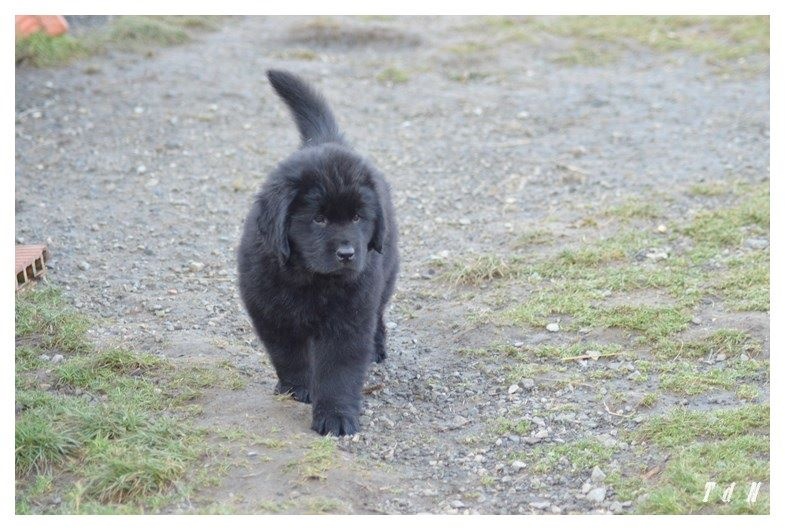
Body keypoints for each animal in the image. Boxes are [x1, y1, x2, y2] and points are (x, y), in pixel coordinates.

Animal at [237, 70, 399, 436]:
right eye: (319, 219)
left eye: (357, 217)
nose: (347, 253)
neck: (310, 280)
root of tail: (326, 140)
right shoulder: (270, 312)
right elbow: (288, 354)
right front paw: (298, 387)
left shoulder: (350, 318)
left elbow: (339, 370)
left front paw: (336, 417)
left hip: (386, 272)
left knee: (380, 313)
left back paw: (378, 347)